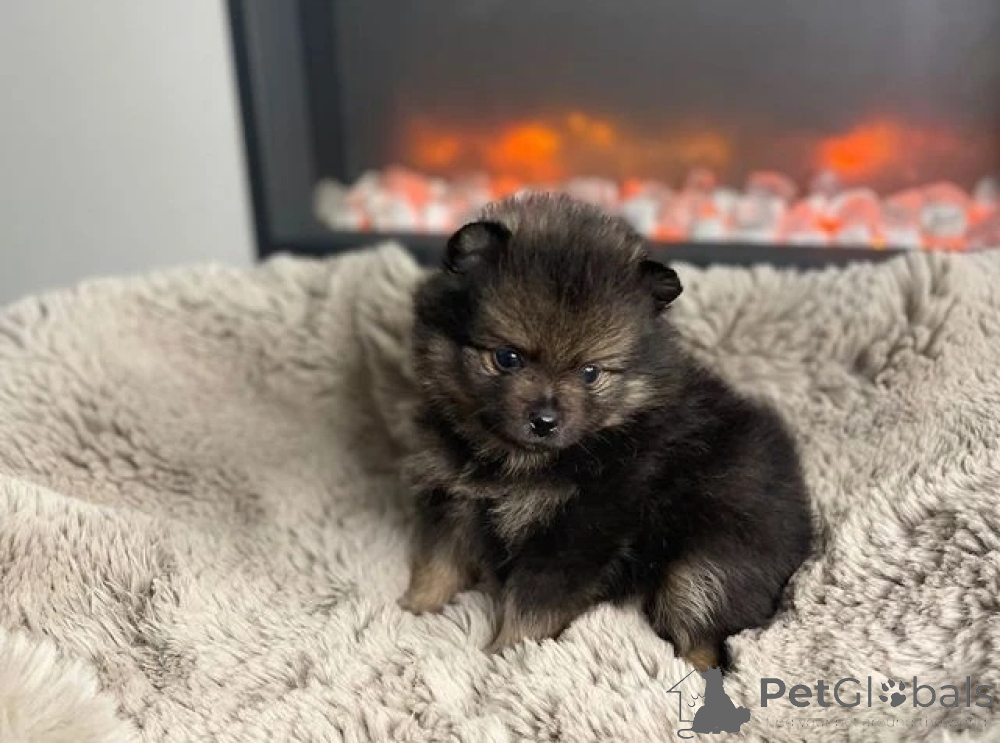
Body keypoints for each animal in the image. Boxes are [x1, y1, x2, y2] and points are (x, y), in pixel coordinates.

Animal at [398, 192, 813, 670]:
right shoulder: (454, 500)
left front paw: (507, 657)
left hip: (706, 565)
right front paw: (414, 612)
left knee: (706, 637)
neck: (514, 462)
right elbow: (438, 564)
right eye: (507, 358)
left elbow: (531, 609)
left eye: (591, 372)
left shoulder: (577, 534)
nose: (545, 420)